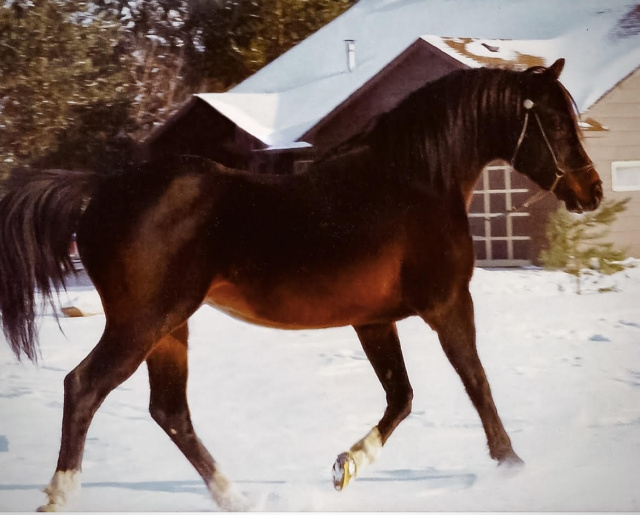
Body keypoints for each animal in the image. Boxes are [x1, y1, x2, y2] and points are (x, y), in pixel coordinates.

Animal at [0, 57, 604, 512]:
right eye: (555, 123)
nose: (592, 191)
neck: (417, 184)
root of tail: (99, 191)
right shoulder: (449, 305)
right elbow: (476, 385)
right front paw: (512, 467)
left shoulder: (373, 320)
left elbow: (402, 397)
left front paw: (347, 465)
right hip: (142, 324)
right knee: (84, 388)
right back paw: (60, 495)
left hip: (170, 329)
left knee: (169, 412)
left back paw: (236, 498)